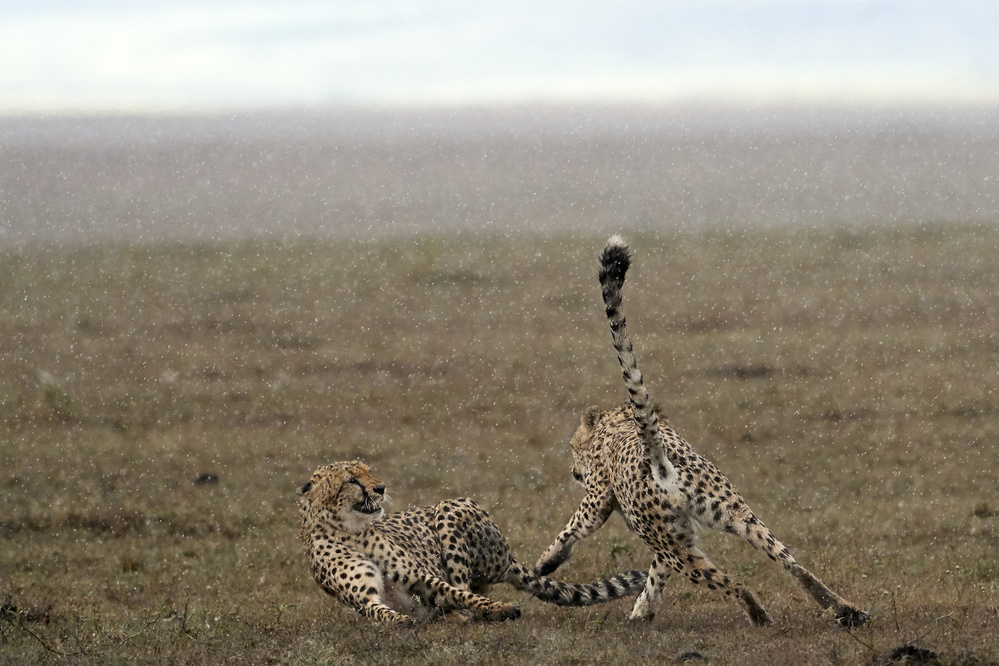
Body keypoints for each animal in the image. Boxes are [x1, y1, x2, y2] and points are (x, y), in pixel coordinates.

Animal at [296, 456, 644, 624]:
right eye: (351, 480)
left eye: (368, 471)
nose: (380, 488)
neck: (348, 531)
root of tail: (508, 558)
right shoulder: (365, 599)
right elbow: (378, 612)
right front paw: (399, 621)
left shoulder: (420, 576)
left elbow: (460, 595)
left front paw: (500, 609)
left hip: (449, 508)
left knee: (465, 593)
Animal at [536, 236, 872, 624]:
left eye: (572, 448)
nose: (573, 471)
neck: (620, 421)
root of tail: (659, 459)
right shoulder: (677, 534)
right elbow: (656, 574)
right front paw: (642, 611)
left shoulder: (598, 500)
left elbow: (572, 527)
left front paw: (545, 563)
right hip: (736, 517)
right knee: (797, 567)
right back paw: (846, 610)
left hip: (677, 545)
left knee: (734, 583)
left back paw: (760, 616)